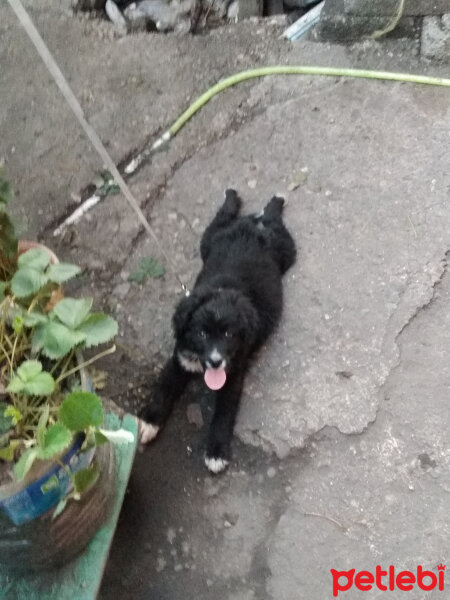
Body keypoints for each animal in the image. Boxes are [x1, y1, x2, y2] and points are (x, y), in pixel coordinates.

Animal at [139, 190, 298, 472]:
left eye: (228, 334)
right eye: (201, 334)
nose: (215, 361)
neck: (220, 294)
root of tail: (251, 226)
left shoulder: (232, 375)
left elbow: (223, 414)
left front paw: (216, 452)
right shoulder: (180, 358)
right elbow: (163, 388)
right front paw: (150, 421)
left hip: (286, 249)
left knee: (273, 221)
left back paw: (274, 202)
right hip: (210, 240)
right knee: (223, 217)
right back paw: (235, 198)